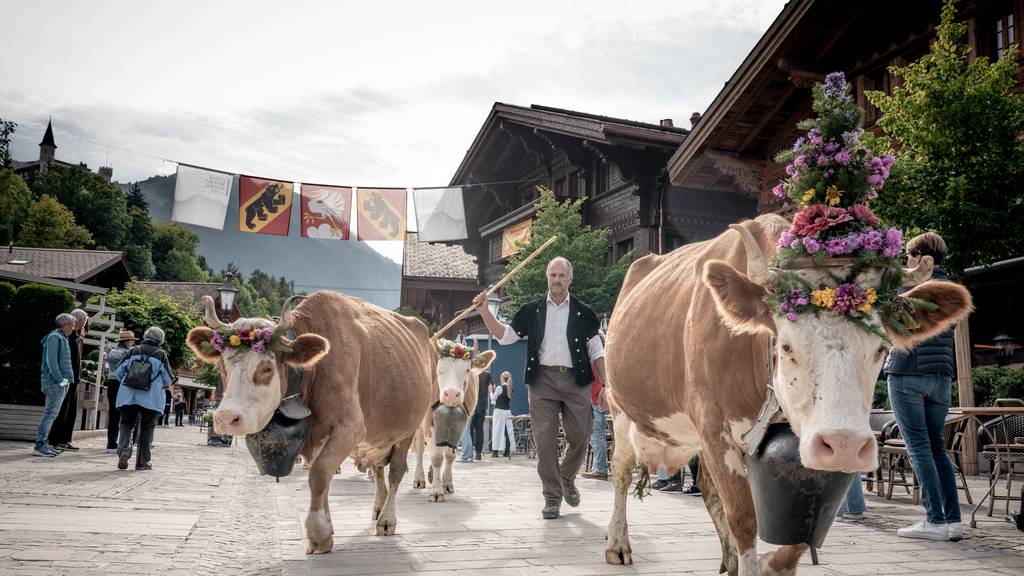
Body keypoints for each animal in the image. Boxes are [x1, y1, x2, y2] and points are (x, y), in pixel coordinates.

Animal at [186, 291, 434, 553]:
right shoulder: (317, 436)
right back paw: (378, 507)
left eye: (267, 368)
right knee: (378, 469)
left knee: (396, 471)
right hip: (381, 437)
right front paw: (328, 526)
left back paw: (387, 519)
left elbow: (319, 475)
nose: (226, 417)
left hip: (408, 430)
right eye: (222, 365)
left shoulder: (350, 429)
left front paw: (318, 533)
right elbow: (324, 481)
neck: (314, 371)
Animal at [409, 336, 493, 498]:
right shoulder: (428, 422)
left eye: (467, 370)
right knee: (420, 449)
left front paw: (446, 483)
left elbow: (449, 456)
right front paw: (436, 491)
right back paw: (419, 478)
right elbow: (436, 457)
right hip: (418, 423)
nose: (452, 394)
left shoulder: (463, 424)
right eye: (439, 370)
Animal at [602, 72, 970, 573]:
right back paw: (618, 544)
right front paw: (748, 558)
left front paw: (769, 562)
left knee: (708, 494)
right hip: (621, 410)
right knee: (621, 473)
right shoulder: (716, 429)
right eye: (788, 344)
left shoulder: (803, 442)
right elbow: (744, 520)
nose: (847, 444)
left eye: (881, 348)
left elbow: (793, 535)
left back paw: (725, 561)